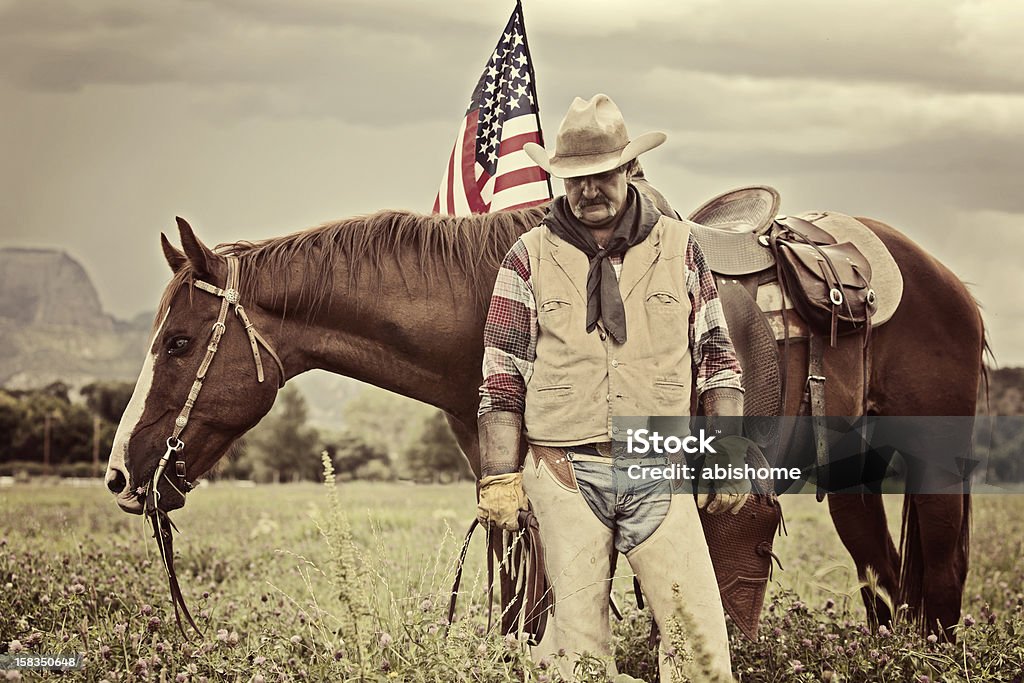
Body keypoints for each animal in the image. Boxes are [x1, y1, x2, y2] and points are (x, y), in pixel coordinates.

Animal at [103, 204, 983, 643]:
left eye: (178, 342)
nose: (120, 473)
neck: (483, 304)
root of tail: (949, 282)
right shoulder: (512, 488)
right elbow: (520, 611)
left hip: (935, 471)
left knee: (937, 590)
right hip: (855, 482)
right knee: (887, 587)